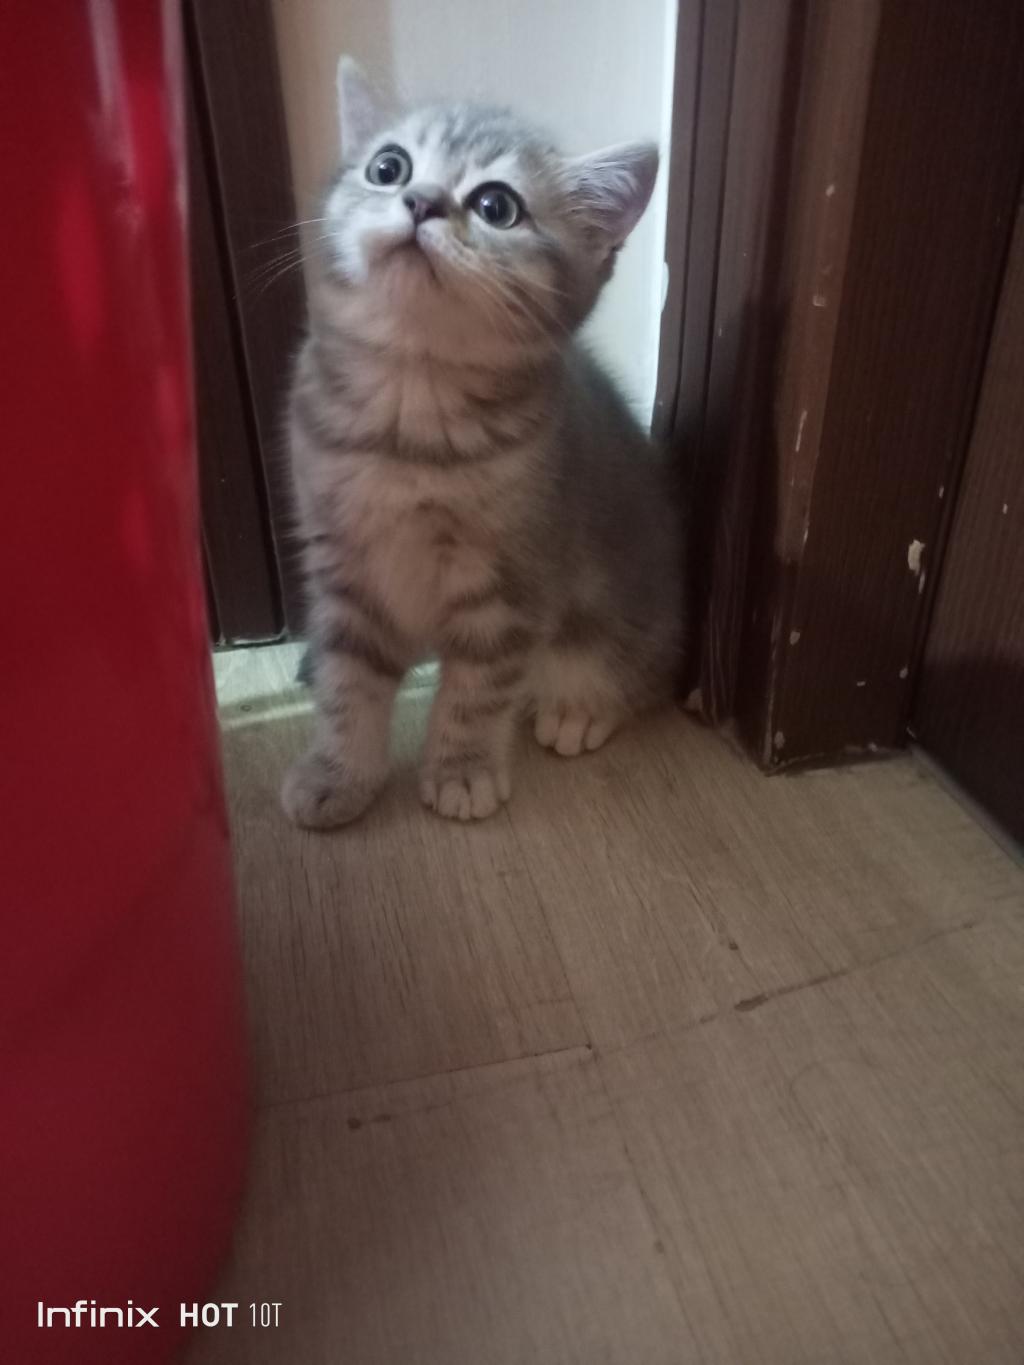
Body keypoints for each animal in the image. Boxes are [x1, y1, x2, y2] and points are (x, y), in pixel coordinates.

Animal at [281, 57, 685, 828]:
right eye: (388, 167)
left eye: (498, 206)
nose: (420, 201)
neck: (407, 416)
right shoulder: (342, 567)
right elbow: (350, 681)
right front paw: (340, 771)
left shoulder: (512, 584)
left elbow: (477, 689)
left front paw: (461, 767)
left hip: (628, 606)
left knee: (638, 670)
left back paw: (580, 707)